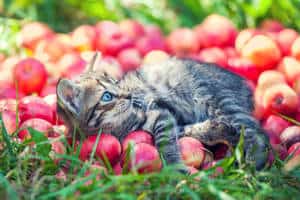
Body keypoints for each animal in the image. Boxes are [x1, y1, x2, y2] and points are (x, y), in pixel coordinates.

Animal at [56, 55, 270, 170]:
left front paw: (175, 169)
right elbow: (184, 132)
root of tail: (244, 84)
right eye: (107, 96)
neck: (116, 128)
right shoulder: (169, 119)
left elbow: (166, 144)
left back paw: (253, 163)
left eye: (116, 82)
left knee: (257, 135)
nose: (129, 94)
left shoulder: (159, 115)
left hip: (220, 102)